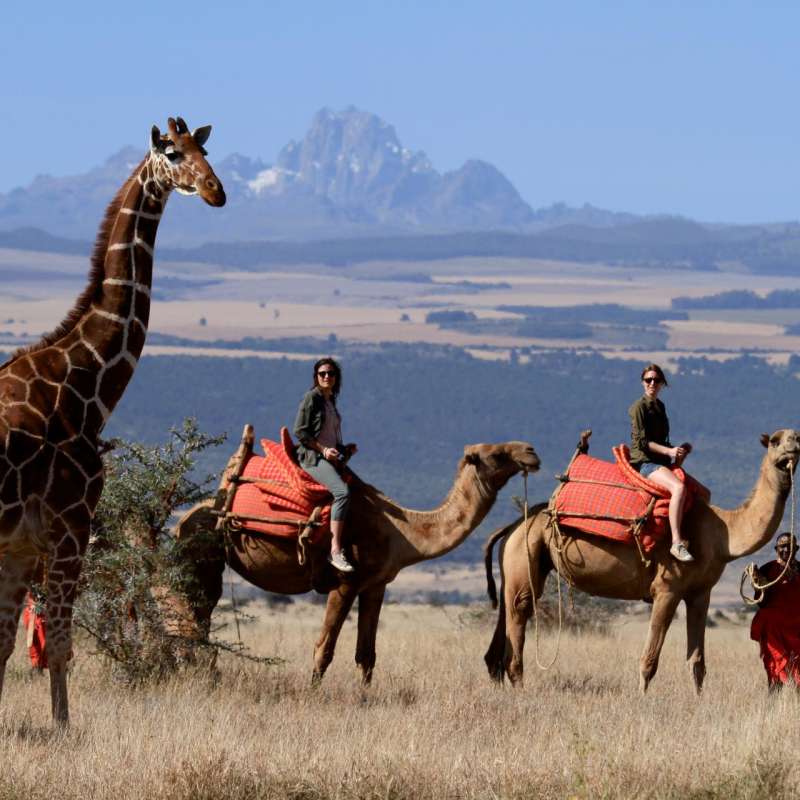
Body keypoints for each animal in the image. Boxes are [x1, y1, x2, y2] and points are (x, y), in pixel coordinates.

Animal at [171, 440, 540, 683]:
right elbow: (324, 649)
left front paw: (364, 697)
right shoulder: (345, 582)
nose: (532, 452)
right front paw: (313, 694)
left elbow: (367, 655)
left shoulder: (375, 586)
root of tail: (184, 519)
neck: (403, 531)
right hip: (202, 557)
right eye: (497, 454)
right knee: (195, 614)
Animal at [483, 429, 800, 693]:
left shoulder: (700, 593)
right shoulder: (667, 589)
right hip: (526, 551)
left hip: (517, 561)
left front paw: (698, 700)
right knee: (522, 607)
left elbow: (697, 660)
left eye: (796, 435)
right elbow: (650, 658)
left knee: (505, 615)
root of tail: (514, 526)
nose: (794, 444)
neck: (722, 534)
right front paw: (642, 699)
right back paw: (521, 688)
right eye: (775, 440)